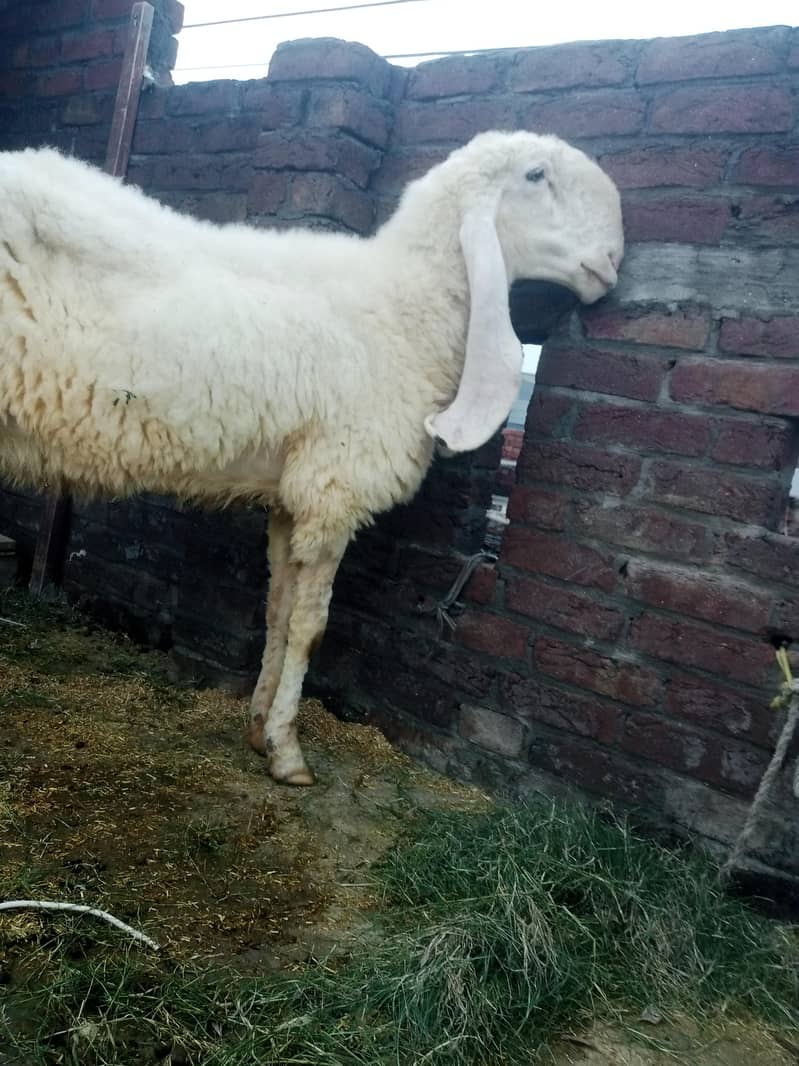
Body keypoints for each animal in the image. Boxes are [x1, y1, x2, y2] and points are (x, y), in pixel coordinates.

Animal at [0, 130, 624, 785]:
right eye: (536, 175)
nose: (610, 260)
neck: (403, 311)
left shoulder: (290, 495)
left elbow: (277, 611)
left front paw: (257, 728)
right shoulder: (335, 487)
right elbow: (310, 629)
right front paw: (287, 751)